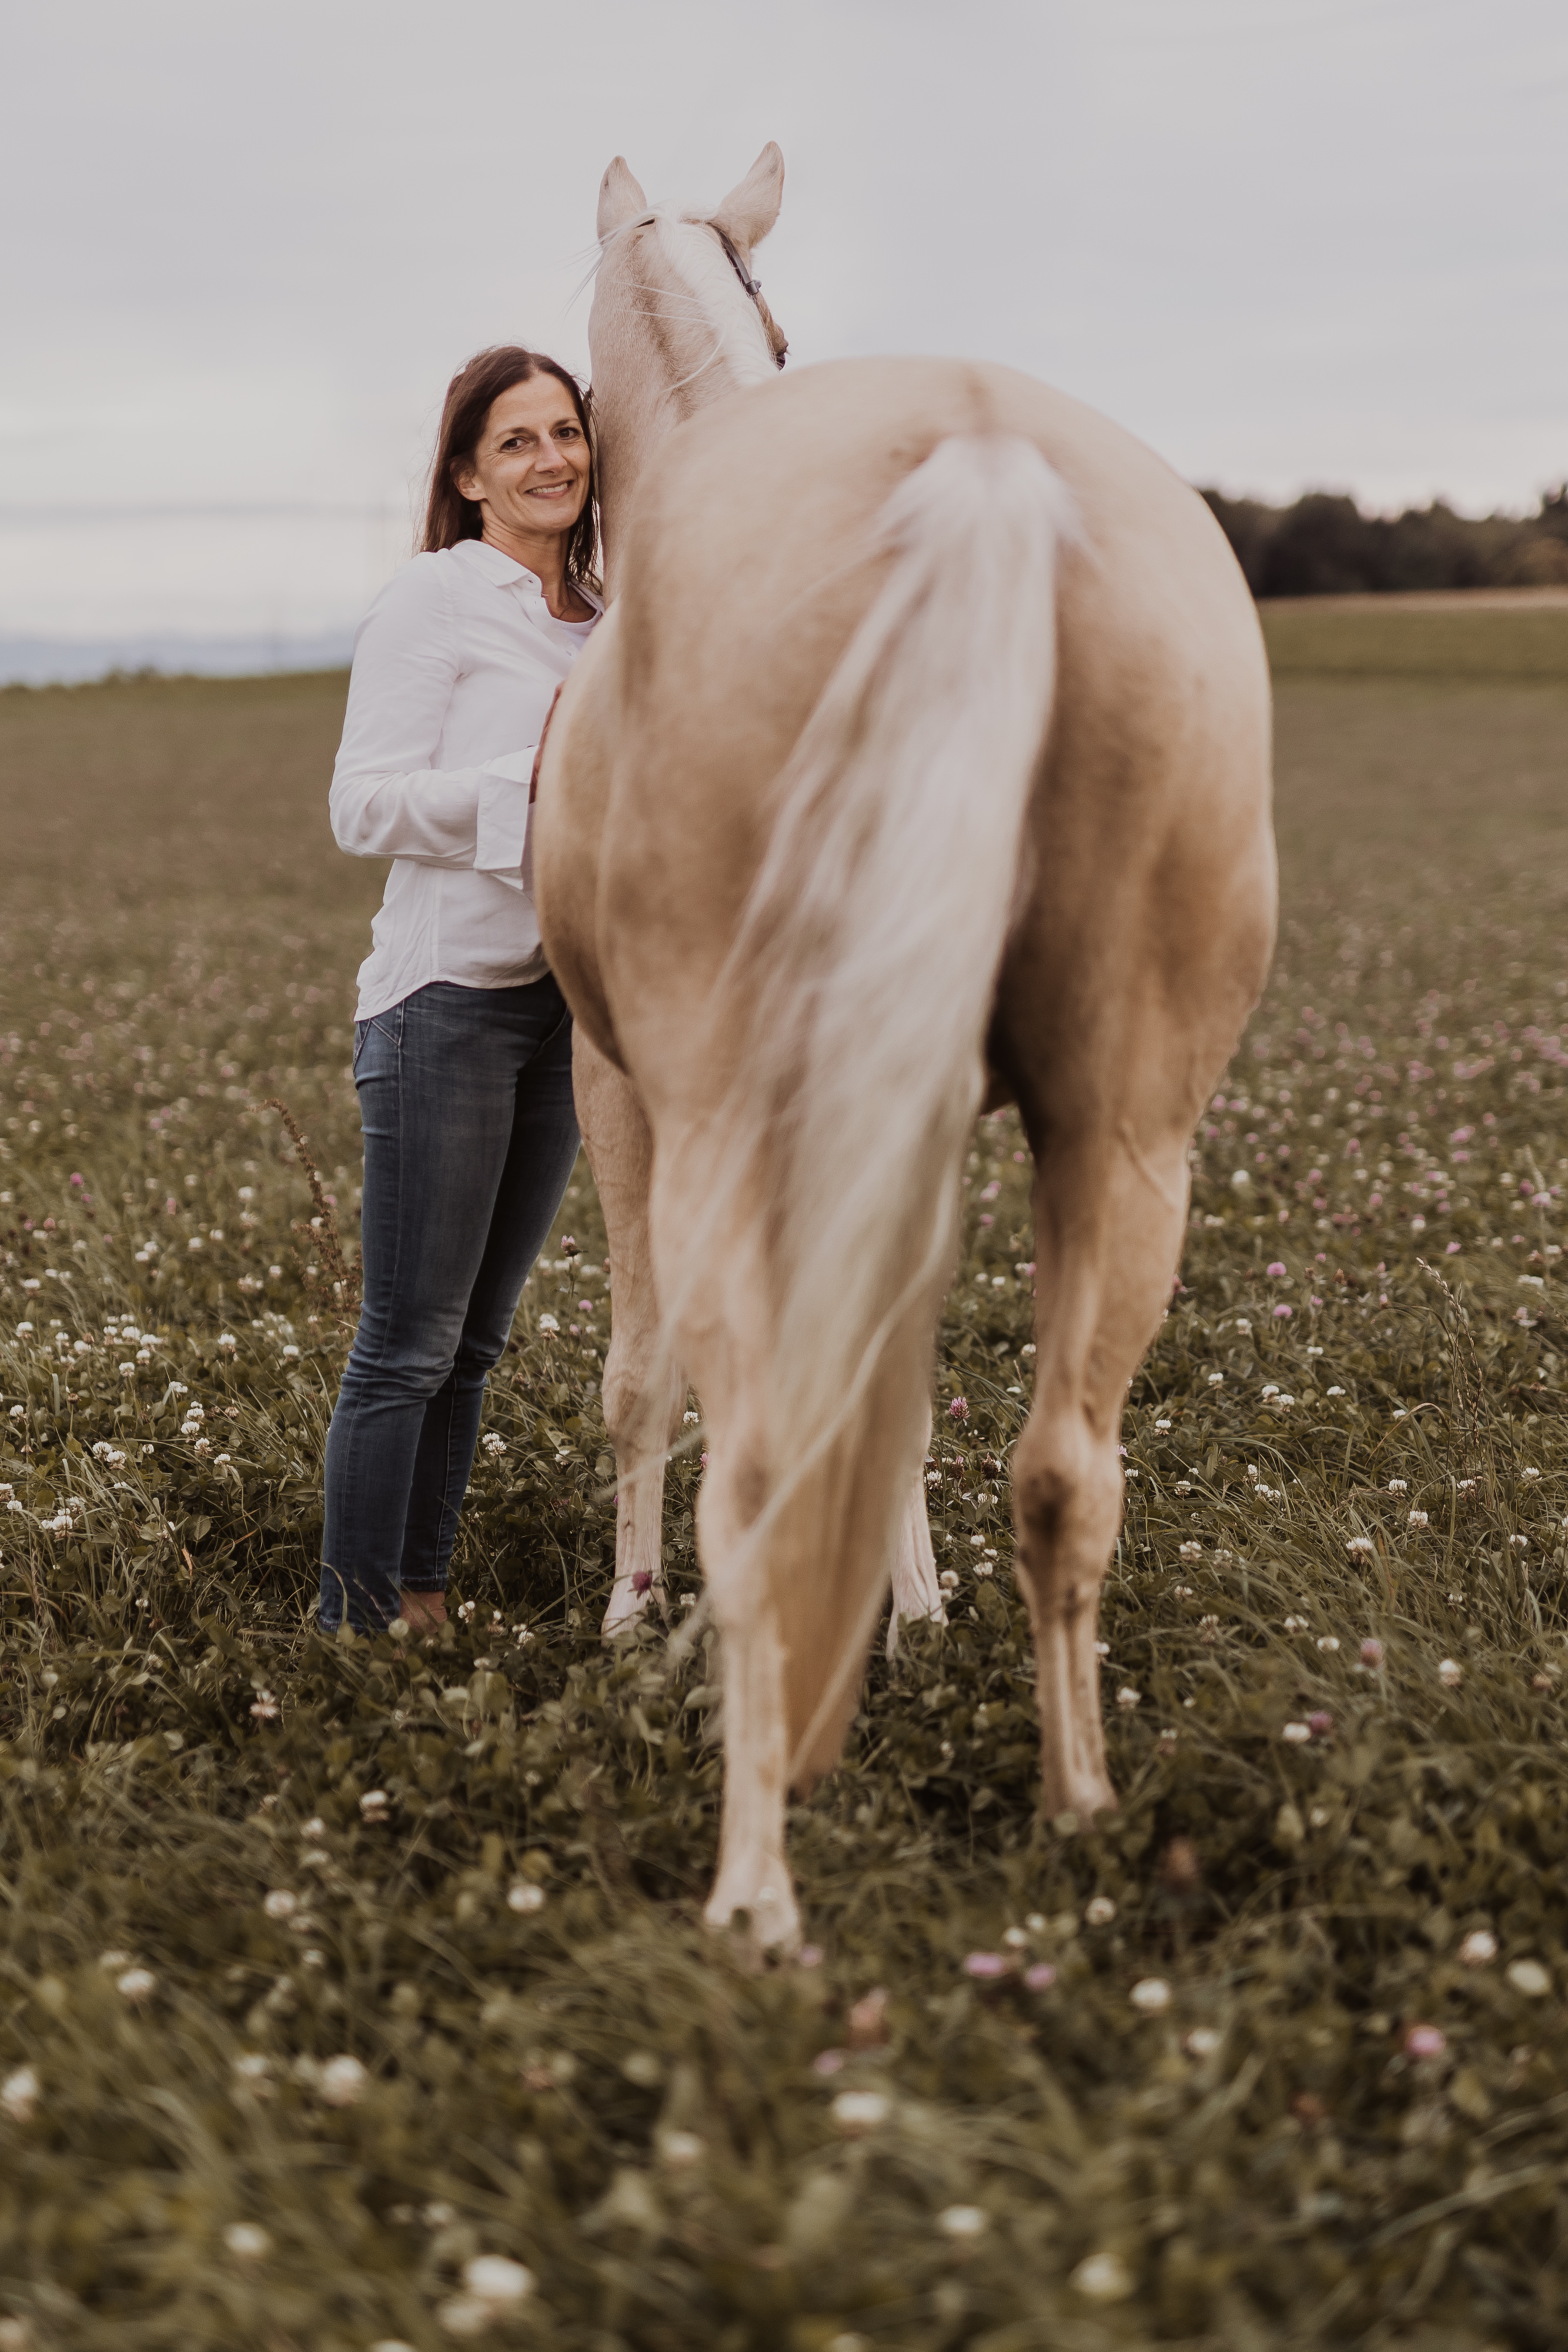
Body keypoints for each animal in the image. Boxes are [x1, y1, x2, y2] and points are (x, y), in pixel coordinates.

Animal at [534, 147, 1276, 1950]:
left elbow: (640, 1380)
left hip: (722, 1124)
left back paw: (752, 1893)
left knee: (747, 1468)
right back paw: (1078, 1811)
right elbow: (907, 1400)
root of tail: (982, 457)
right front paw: (912, 1608)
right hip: (1127, 1138)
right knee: (1068, 1472)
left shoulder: (623, 1092)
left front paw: (628, 1617)